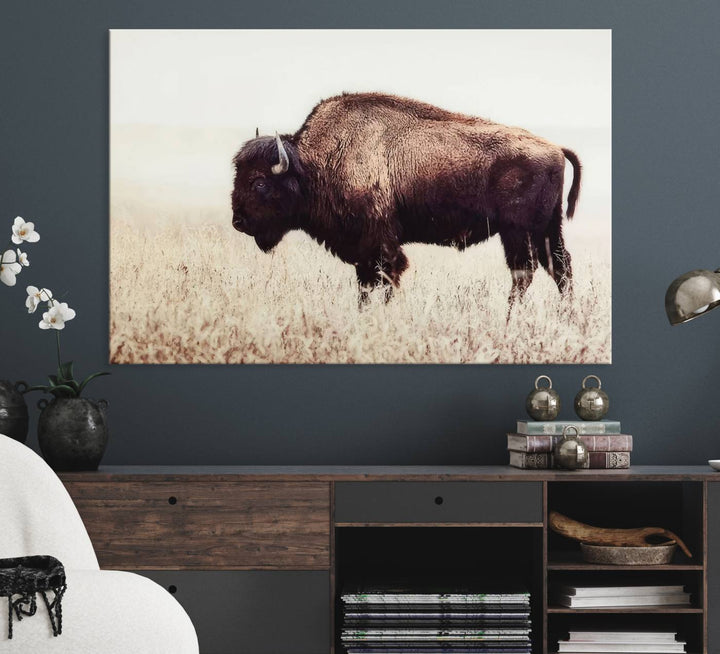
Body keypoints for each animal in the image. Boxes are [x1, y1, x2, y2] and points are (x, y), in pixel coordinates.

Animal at [231, 94, 580, 308]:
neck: (314, 164)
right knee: (559, 268)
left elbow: (385, 278)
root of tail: (555, 148)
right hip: (547, 229)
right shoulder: (364, 251)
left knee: (525, 272)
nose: (238, 222)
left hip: (518, 232)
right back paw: (565, 317)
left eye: (259, 182)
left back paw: (509, 318)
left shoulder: (380, 244)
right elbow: (366, 284)